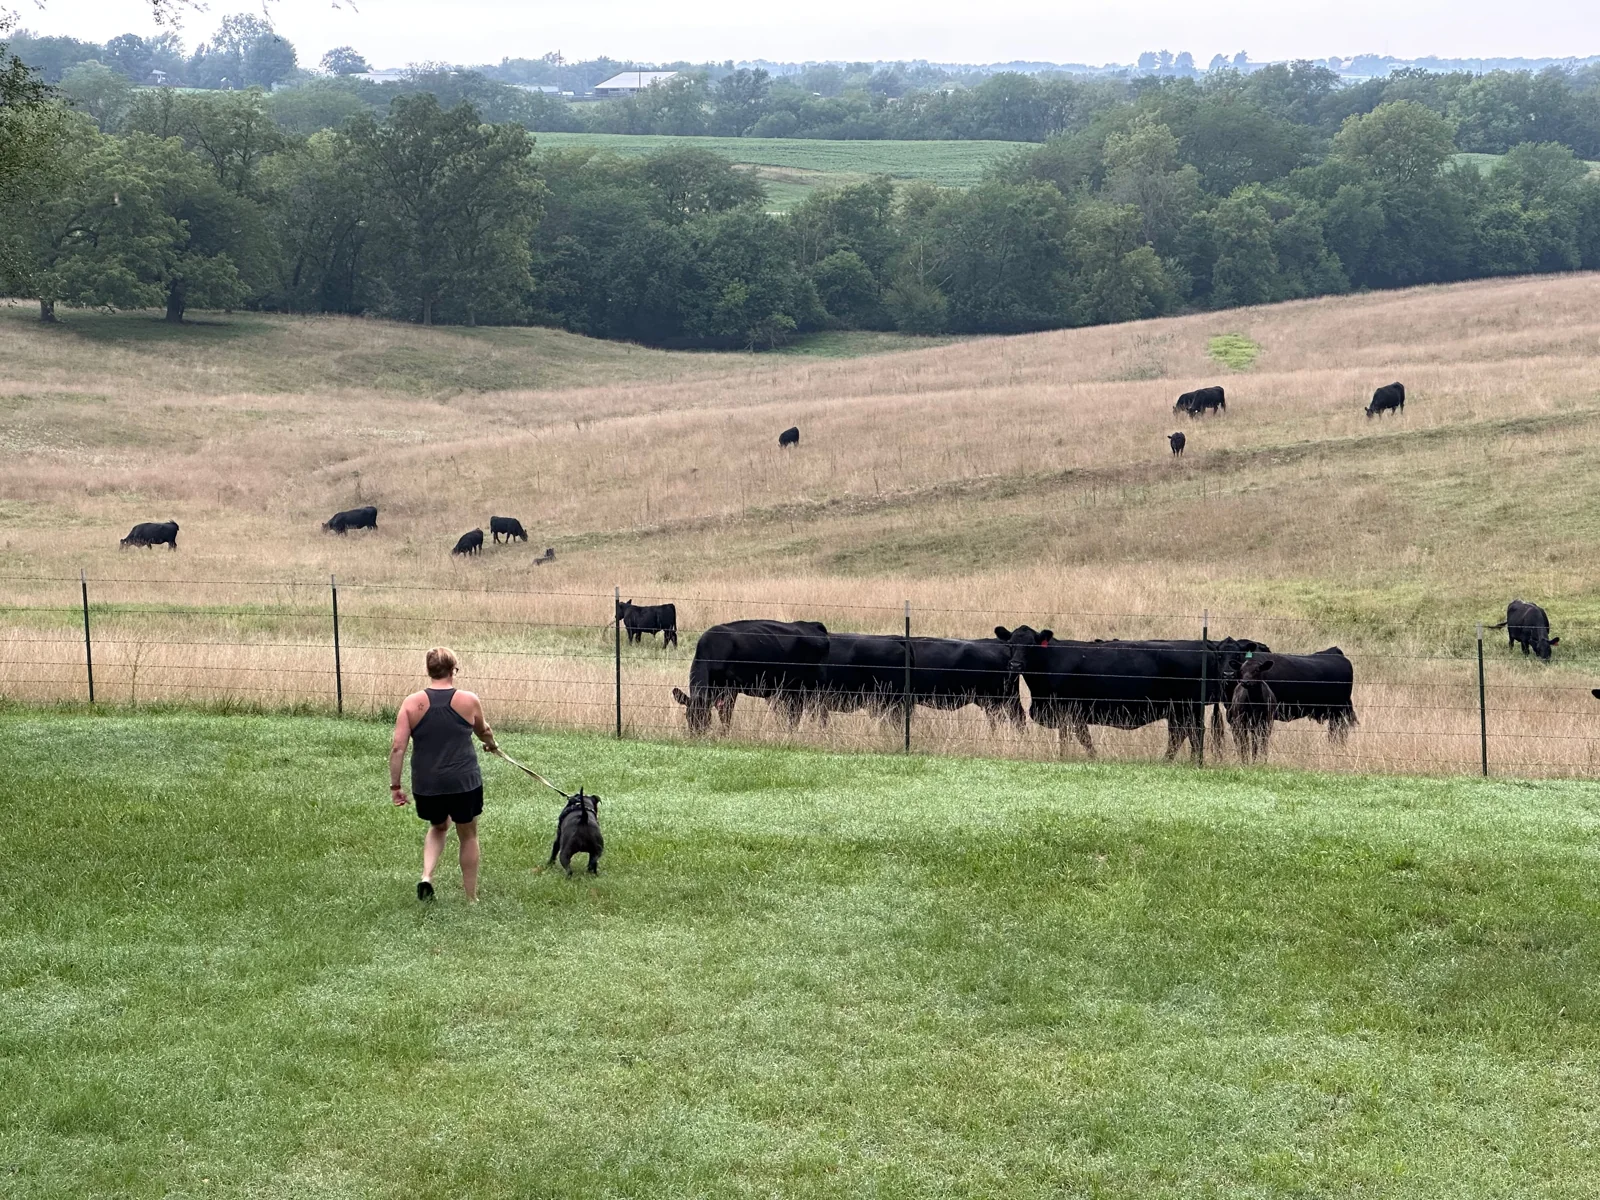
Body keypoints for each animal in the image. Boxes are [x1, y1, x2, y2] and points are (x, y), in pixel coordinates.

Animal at [672, 619, 831, 734]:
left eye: (706, 717)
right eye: (687, 716)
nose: (696, 734)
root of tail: (813, 625)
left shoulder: (730, 688)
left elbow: (726, 715)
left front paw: (725, 734)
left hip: (813, 687)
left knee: (818, 712)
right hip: (793, 690)